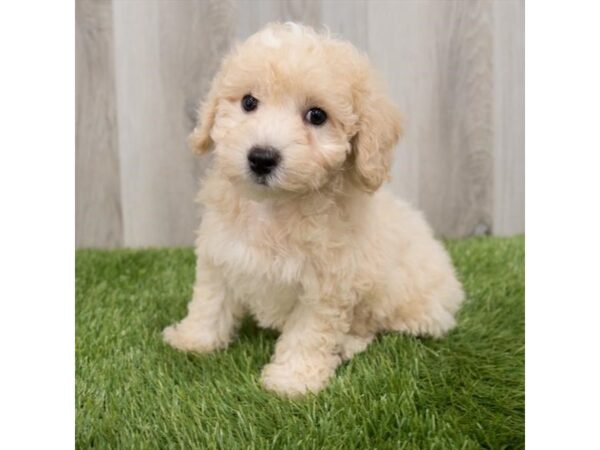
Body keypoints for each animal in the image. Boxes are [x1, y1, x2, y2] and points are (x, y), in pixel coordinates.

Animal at [164, 23, 464, 398]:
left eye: (317, 116)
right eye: (249, 102)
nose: (261, 157)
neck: (275, 206)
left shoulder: (326, 286)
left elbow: (309, 333)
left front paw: (292, 380)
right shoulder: (220, 254)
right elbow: (210, 301)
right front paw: (194, 339)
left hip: (410, 303)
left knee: (378, 328)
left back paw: (348, 345)